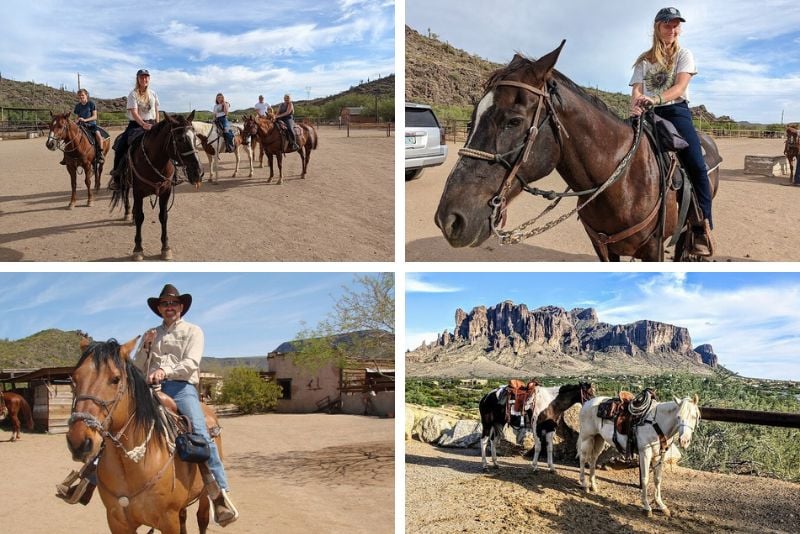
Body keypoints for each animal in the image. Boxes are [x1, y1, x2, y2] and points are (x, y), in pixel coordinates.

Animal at [65, 340, 220, 534]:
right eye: (73, 379)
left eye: (115, 379)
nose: (78, 442)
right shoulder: (117, 522)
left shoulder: (169, 521)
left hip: (205, 495)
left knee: (202, 518)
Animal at [109, 112, 203, 262]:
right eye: (180, 139)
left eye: (196, 137)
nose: (198, 173)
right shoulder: (138, 192)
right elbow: (141, 217)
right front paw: (138, 249)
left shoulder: (166, 192)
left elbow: (163, 216)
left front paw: (165, 248)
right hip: (126, 182)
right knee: (126, 194)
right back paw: (128, 213)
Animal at [434, 39, 720, 262]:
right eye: (471, 120)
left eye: (513, 121)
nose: (449, 220)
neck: (622, 183)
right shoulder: (603, 248)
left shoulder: (654, 248)